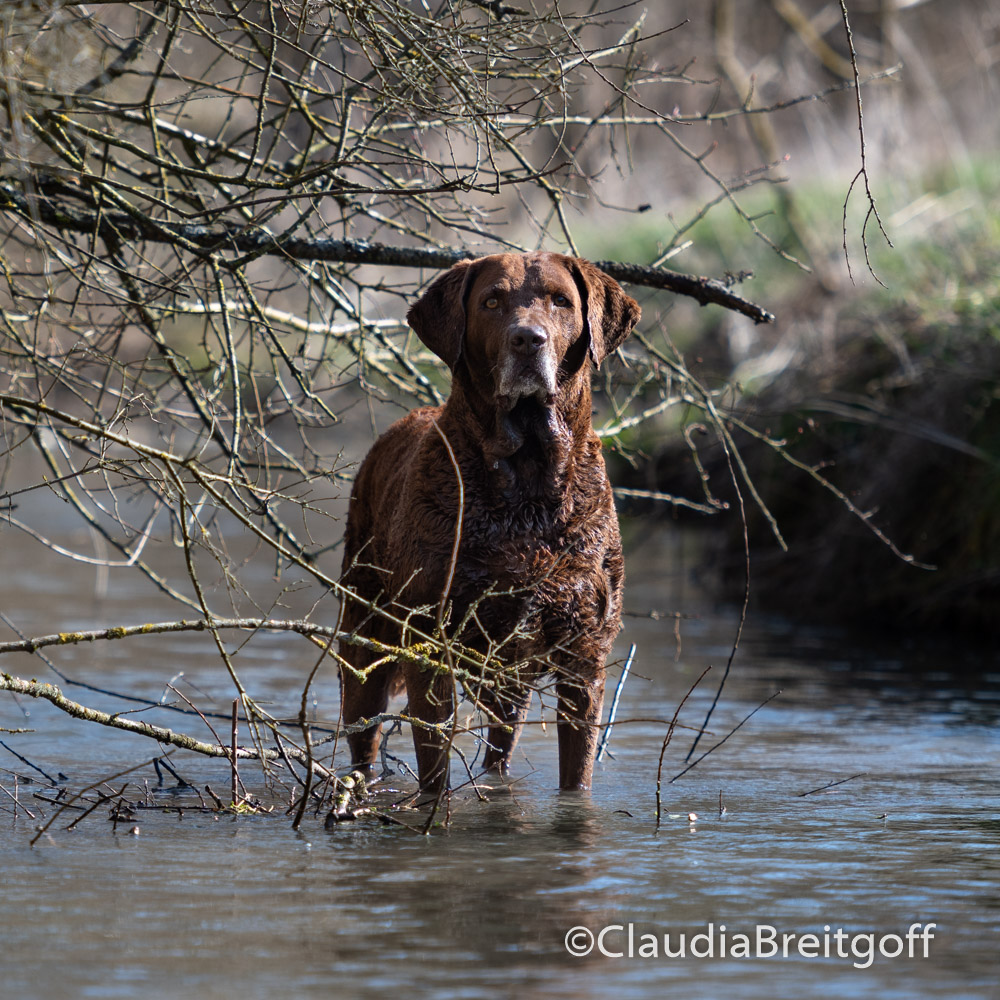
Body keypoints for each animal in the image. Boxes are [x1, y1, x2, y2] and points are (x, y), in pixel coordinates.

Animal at [338, 254, 640, 792]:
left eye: (560, 301)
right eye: (492, 302)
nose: (527, 340)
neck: (526, 487)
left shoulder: (586, 656)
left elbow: (577, 772)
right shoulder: (430, 642)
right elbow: (434, 768)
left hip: (508, 675)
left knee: (501, 742)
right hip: (365, 627)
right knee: (363, 735)